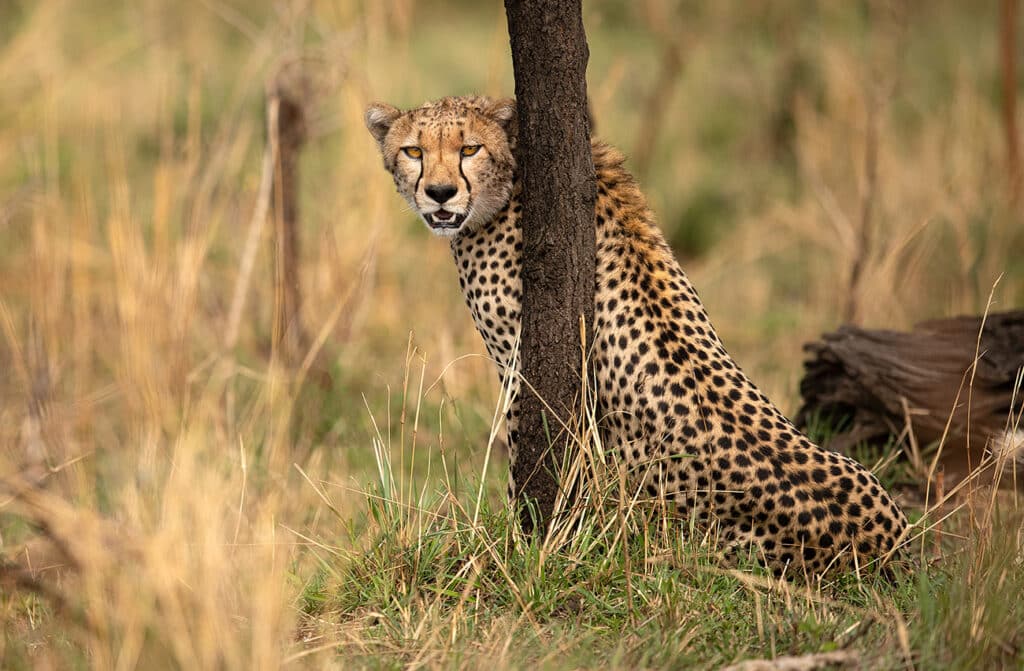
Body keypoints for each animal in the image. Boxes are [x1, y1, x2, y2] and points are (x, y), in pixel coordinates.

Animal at [364, 95, 909, 577]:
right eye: (413, 152)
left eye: (469, 149)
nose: (439, 193)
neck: (511, 179)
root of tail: (889, 549)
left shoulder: (520, 368)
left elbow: (525, 452)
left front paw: (526, 536)